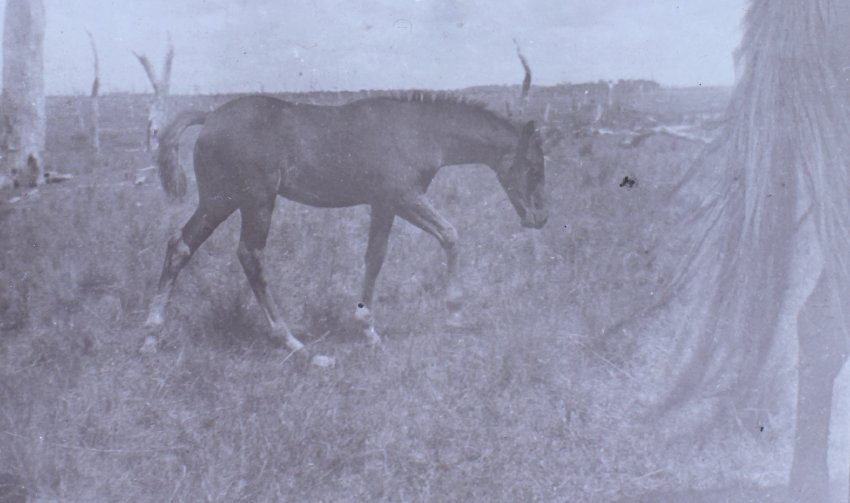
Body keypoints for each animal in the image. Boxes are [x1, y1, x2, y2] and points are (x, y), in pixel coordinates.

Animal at [142, 91, 548, 355]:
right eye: (532, 166)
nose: (540, 217)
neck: (418, 132)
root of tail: (209, 117)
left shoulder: (387, 204)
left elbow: (375, 258)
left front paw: (367, 328)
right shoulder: (405, 197)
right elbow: (450, 235)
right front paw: (454, 313)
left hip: (219, 200)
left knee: (181, 244)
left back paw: (151, 333)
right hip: (255, 201)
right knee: (250, 254)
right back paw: (292, 342)